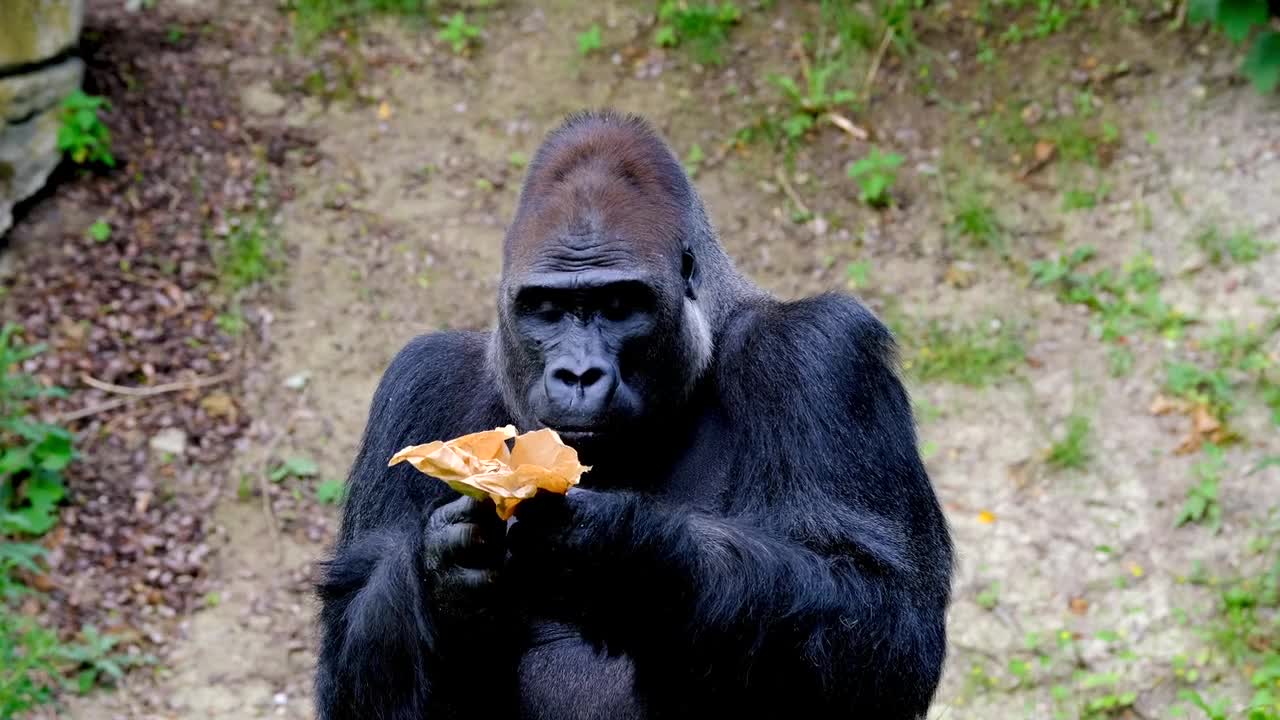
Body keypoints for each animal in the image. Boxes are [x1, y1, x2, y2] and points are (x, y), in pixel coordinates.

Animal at [312, 109, 952, 712]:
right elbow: (348, 655)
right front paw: (439, 569)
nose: (578, 374)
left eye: (619, 305)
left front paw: (628, 556)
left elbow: (879, 623)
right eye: (546, 308)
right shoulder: (418, 380)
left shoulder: (823, 354)